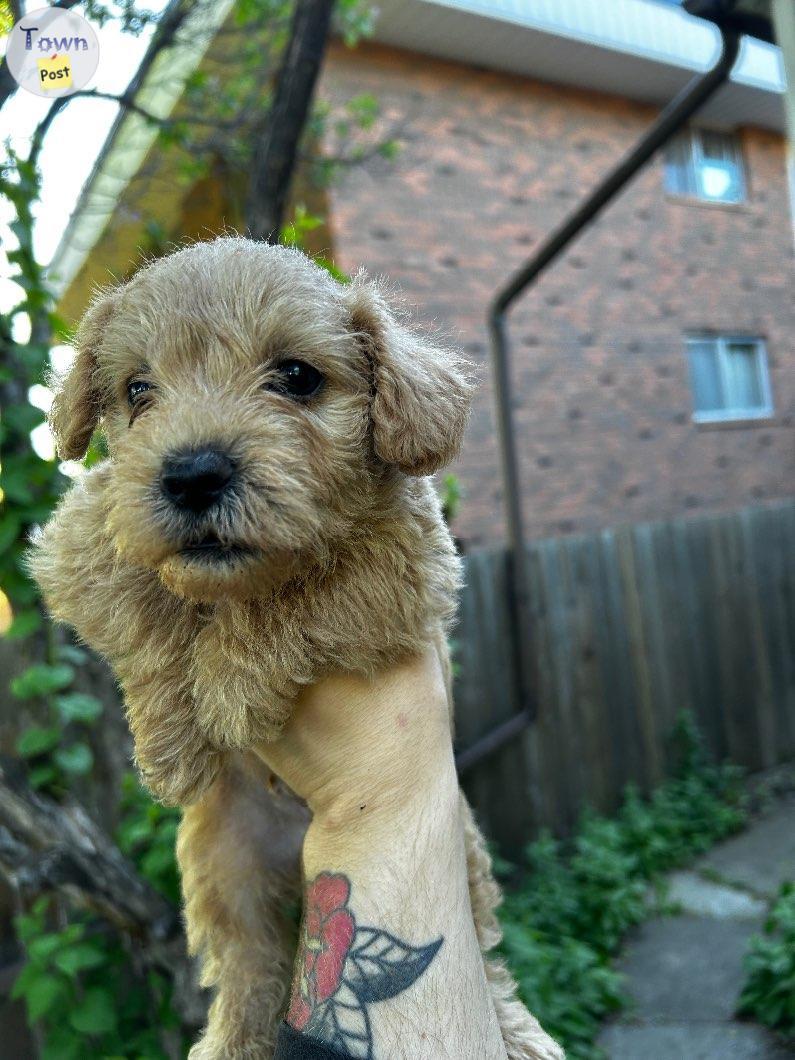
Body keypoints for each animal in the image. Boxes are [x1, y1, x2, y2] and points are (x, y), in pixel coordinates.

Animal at [31, 240, 563, 1060]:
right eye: (138, 390)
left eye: (297, 376)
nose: (192, 474)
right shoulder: (79, 539)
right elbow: (140, 602)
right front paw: (171, 741)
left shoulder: (411, 570)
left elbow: (314, 593)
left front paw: (224, 687)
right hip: (225, 871)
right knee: (251, 969)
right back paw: (230, 1043)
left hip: (461, 852)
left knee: (483, 949)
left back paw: (516, 1032)